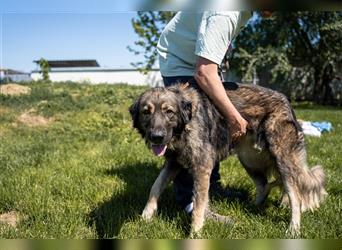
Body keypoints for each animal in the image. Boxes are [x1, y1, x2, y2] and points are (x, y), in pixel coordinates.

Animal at [130, 82, 328, 236]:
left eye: (169, 112)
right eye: (146, 112)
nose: (157, 137)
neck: (186, 123)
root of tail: (286, 101)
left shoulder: (202, 167)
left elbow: (199, 204)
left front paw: (195, 232)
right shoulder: (173, 163)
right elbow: (155, 186)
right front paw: (146, 216)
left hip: (282, 160)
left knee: (295, 195)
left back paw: (293, 229)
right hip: (248, 159)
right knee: (263, 184)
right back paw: (252, 207)